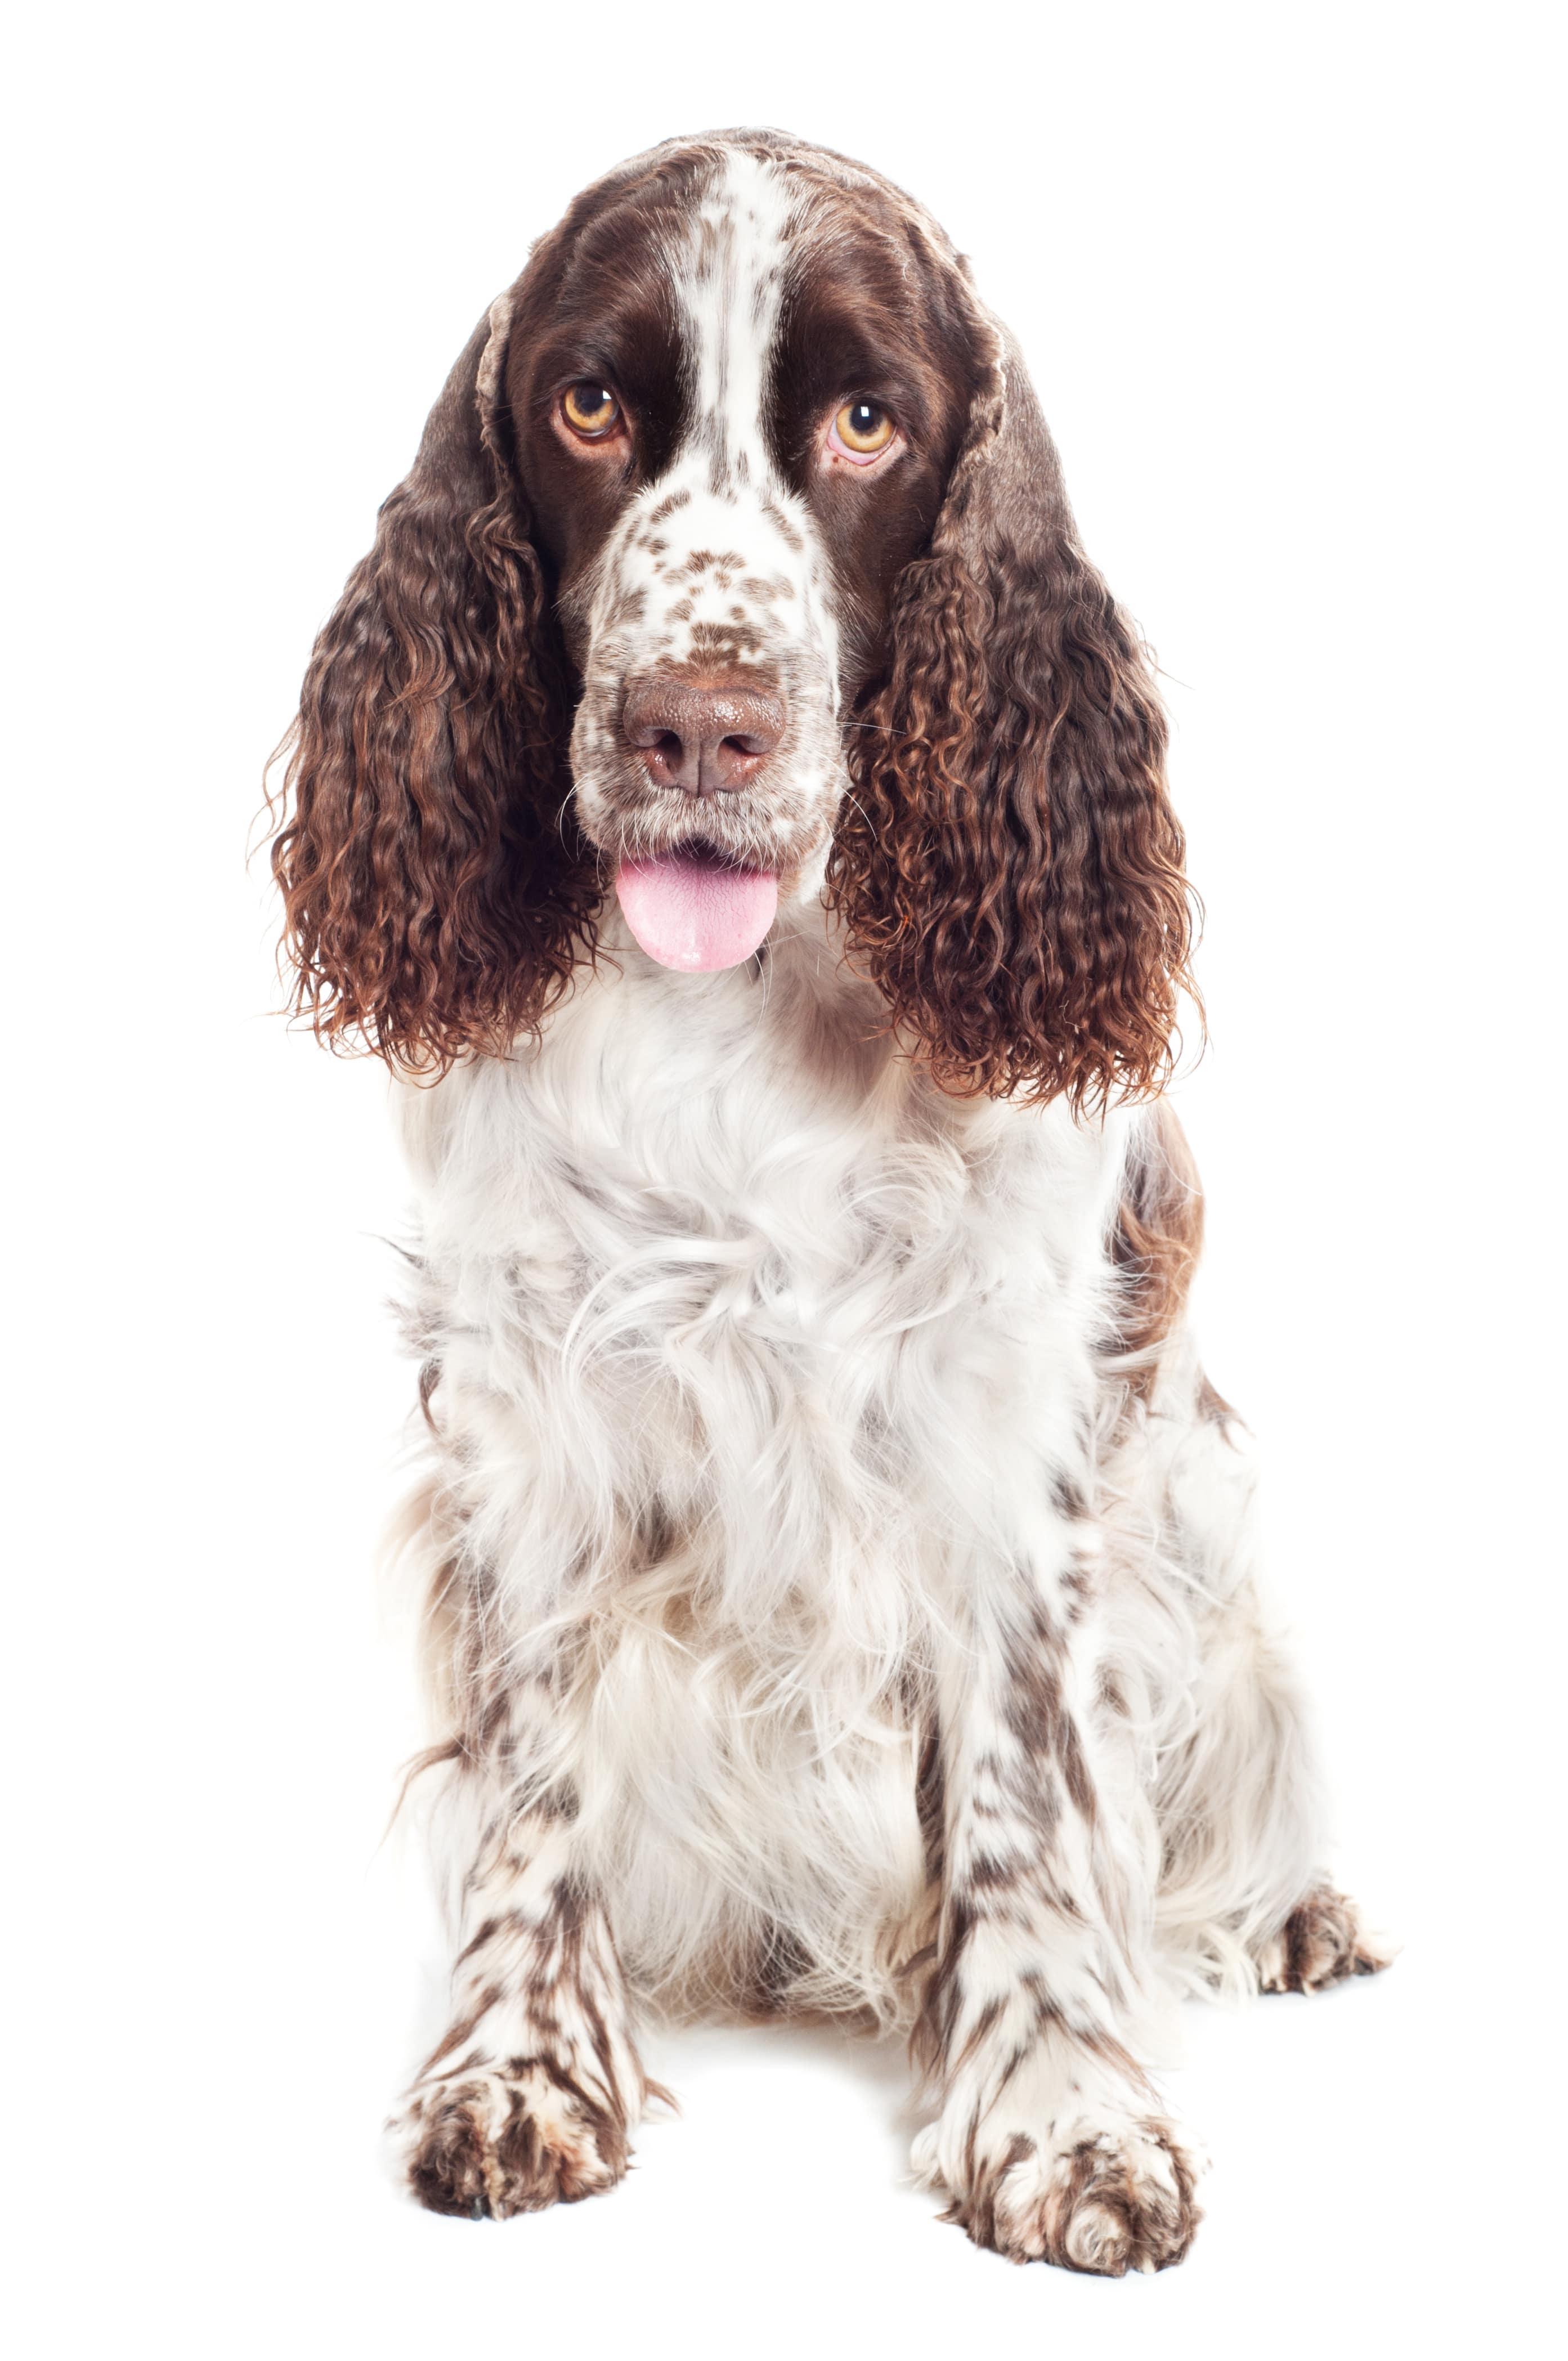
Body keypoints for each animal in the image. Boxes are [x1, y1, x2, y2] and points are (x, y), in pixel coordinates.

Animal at [272, 124, 1397, 2266]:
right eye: (589, 402)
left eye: (869, 420)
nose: (695, 727)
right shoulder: (530, 1383)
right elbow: (535, 1768)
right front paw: (520, 2066)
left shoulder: (1000, 1411)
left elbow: (1028, 1793)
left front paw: (1057, 2115)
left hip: (1203, 1528)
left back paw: (1292, 1915)